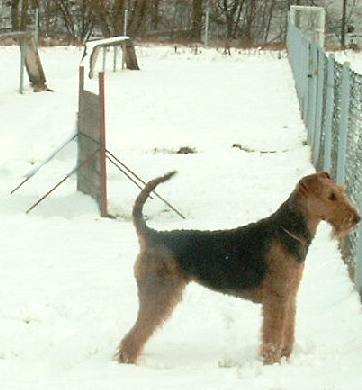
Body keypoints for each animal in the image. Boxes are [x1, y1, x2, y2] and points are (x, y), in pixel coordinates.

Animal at [119, 171, 360, 366]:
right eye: (330, 196)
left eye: (341, 191)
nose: (356, 218)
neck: (288, 230)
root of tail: (152, 235)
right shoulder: (276, 297)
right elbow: (272, 336)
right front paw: (271, 364)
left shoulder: (289, 294)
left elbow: (287, 331)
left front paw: (284, 359)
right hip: (160, 293)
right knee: (135, 333)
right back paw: (128, 362)